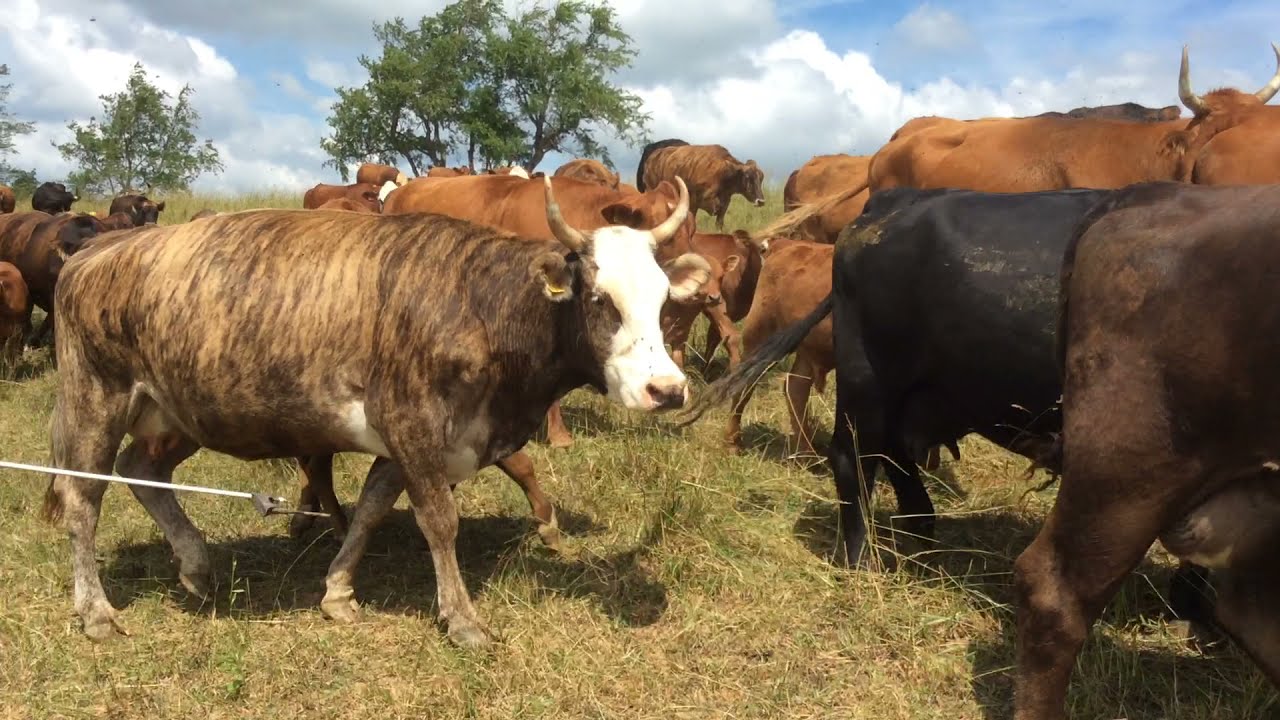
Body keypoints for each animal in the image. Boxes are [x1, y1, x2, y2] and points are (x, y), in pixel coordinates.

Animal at [636, 139, 766, 230]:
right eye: (748, 177)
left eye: (761, 178)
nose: (761, 201)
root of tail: (652, 157)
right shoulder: (694, 201)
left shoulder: (725, 203)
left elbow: (719, 223)